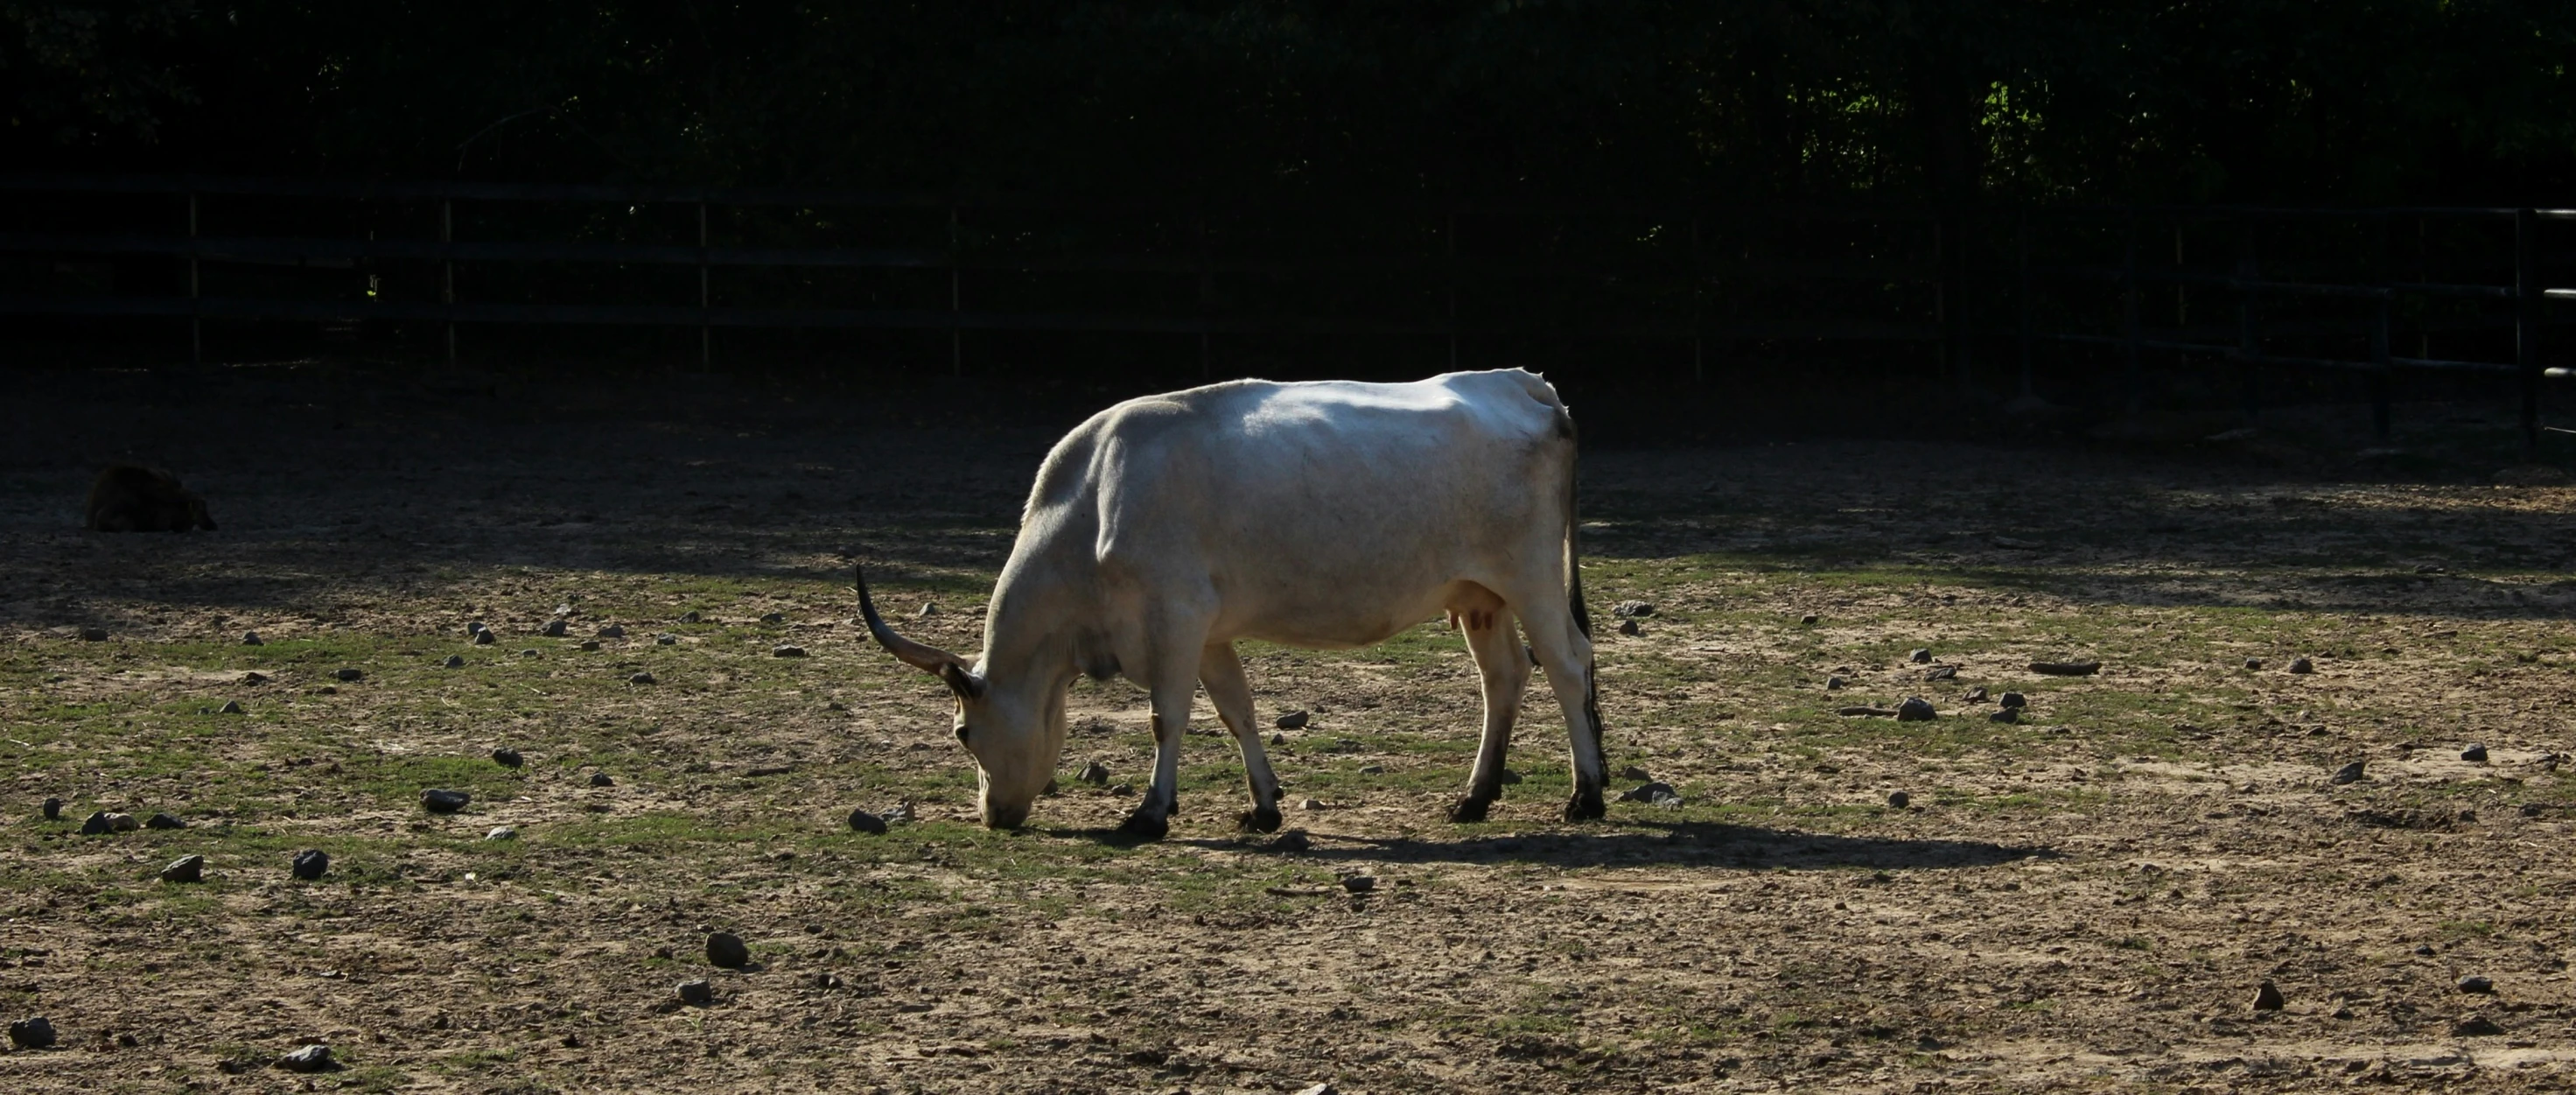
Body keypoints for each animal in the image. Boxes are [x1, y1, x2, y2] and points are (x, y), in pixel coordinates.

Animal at [850, 363, 1607, 829]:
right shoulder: (1208, 630)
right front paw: (1265, 805)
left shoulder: (1174, 618)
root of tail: (1521, 382)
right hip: (1481, 594)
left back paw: (1585, 795)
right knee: (1503, 676)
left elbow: (1168, 716)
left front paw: (1150, 813)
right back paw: (1474, 797)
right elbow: (1236, 708)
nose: (992, 816)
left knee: (1568, 666)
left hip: (1531, 577)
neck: (1092, 504)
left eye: (961, 732)